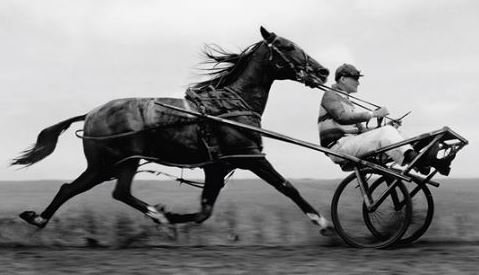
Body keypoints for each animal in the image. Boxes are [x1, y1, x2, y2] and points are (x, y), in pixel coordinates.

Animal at [11, 26, 334, 235]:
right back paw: (158, 215)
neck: (230, 104)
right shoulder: (250, 156)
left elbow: (205, 210)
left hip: (106, 166)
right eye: (288, 46)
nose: (322, 71)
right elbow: (287, 186)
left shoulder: (216, 167)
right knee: (117, 192)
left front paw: (176, 215)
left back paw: (39, 219)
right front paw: (322, 222)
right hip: (121, 162)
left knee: (72, 188)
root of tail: (91, 113)